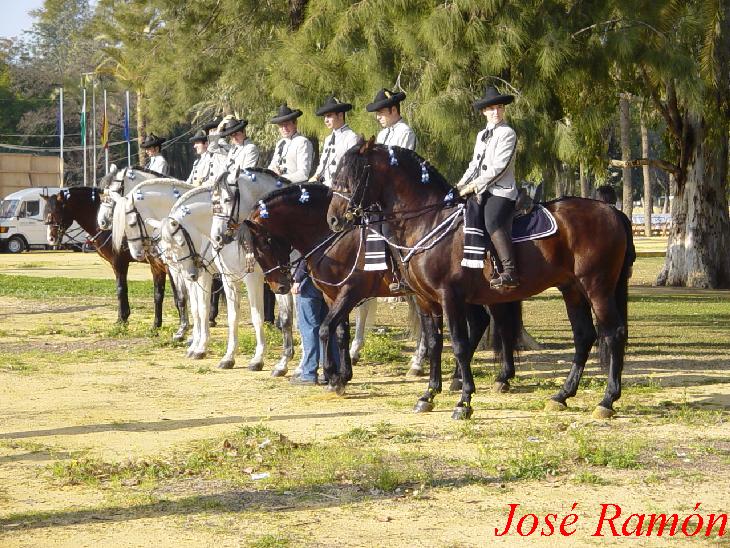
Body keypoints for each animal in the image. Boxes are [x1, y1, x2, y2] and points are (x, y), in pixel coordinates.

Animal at [40, 186, 189, 336]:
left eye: (55, 213)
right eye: (45, 214)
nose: (51, 239)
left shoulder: (119, 262)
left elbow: (121, 289)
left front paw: (122, 318)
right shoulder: (151, 266)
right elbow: (152, 294)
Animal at [151, 184, 292, 372]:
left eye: (181, 243)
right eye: (166, 246)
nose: (189, 273)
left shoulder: (251, 278)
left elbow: (256, 316)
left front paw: (257, 359)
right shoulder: (222, 278)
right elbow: (206, 310)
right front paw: (210, 351)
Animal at [242, 184, 520, 394]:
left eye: (265, 242)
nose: (279, 285)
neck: (336, 236)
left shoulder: (350, 292)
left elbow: (324, 329)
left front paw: (332, 376)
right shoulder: (333, 296)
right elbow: (339, 333)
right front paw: (343, 375)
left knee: (494, 323)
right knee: (487, 322)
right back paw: (473, 378)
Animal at [328, 141, 628, 420]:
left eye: (353, 174)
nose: (333, 218)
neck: (428, 220)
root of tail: (611, 211)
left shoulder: (450, 297)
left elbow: (459, 346)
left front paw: (464, 402)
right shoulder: (426, 300)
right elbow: (435, 343)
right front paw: (428, 395)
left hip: (597, 287)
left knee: (614, 334)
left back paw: (606, 400)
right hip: (572, 289)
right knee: (584, 336)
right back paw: (562, 395)